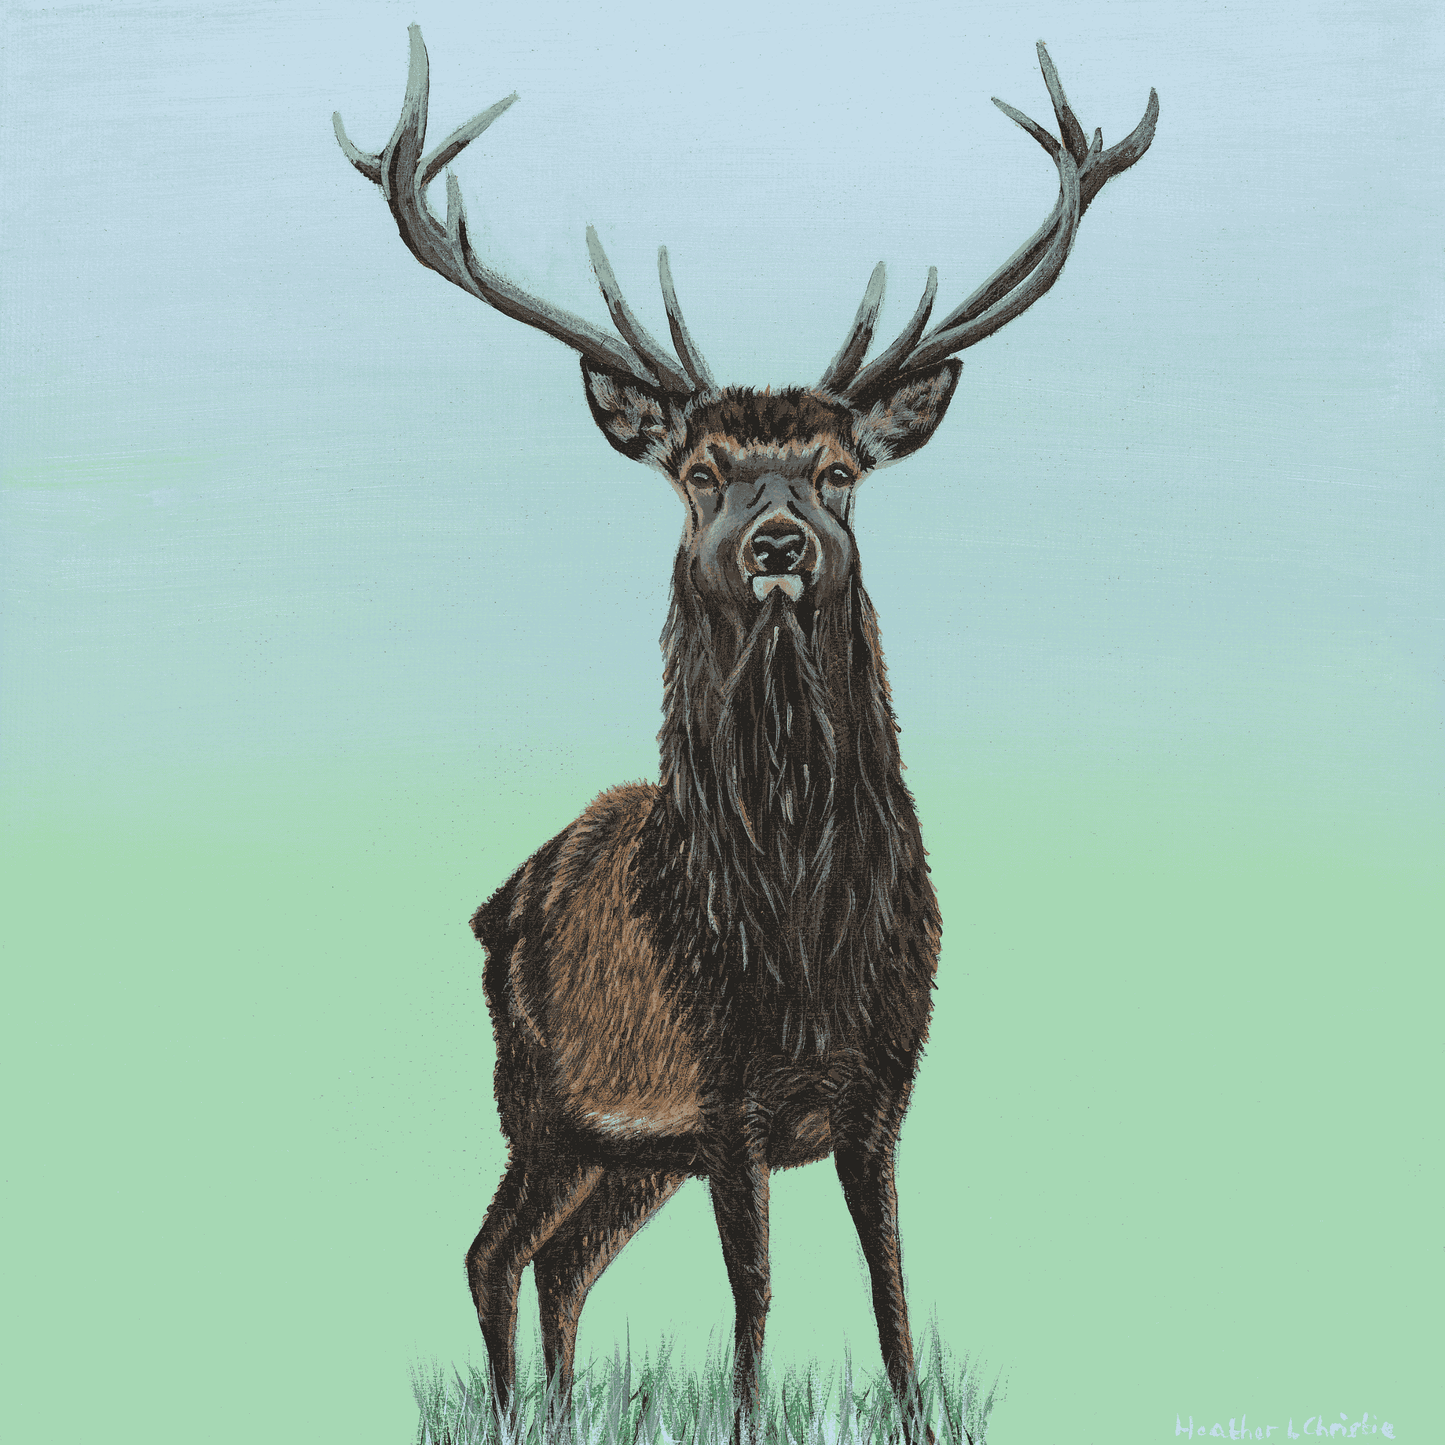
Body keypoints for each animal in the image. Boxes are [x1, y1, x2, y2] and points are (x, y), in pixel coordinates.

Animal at [335, 24, 1157, 1435]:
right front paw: (741, 1417)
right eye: (701, 471)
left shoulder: (880, 1089)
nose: (777, 541)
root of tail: (496, 900)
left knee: (560, 1258)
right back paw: (510, 1412)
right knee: (492, 1249)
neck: (795, 929)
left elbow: (888, 1284)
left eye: (838, 472)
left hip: (626, 1149)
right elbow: (758, 1289)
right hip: (544, 1099)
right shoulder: (724, 1098)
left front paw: (914, 1413)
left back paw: (563, 1410)